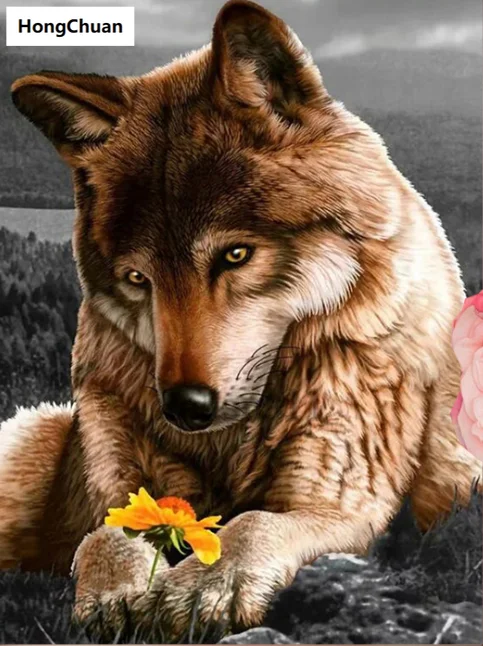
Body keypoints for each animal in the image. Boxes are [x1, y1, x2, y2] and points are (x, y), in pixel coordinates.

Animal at [1, 0, 481, 639]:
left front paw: (205, 587)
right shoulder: (120, 484)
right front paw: (119, 592)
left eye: (235, 255)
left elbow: (252, 523)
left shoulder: (339, 501)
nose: (184, 408)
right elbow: (107, 534)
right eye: (138, 279)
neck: (231, 443)